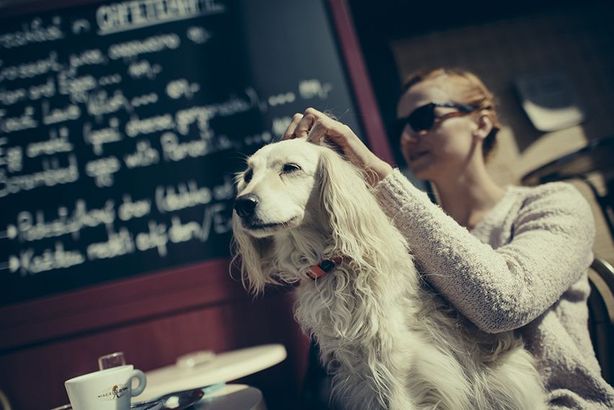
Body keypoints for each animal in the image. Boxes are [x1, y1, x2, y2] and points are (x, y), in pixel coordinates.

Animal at [232, 139, 548, 410]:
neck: (334, 268)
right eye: (248, 174)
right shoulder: (363, 376)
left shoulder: (397, 369)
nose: (242, 204)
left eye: (290, 168)